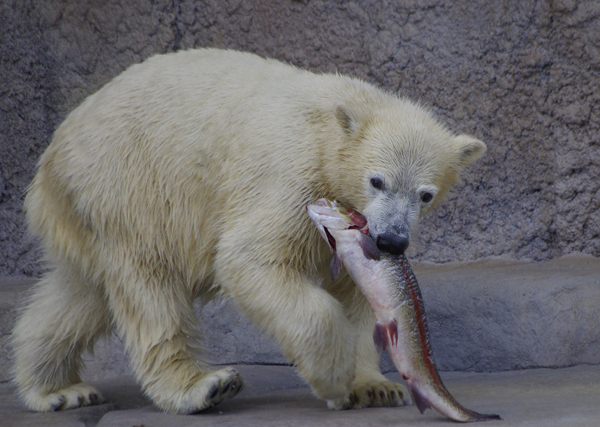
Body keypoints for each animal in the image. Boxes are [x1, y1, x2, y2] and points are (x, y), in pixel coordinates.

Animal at [11, 49, 486, 414]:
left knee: (78, 295)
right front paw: (333, 378)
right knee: (150, 287)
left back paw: (58, 390)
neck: (334, 121)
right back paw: (202, 386)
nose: (391, 240)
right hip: (129, 185)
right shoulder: (290, 174)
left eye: (426, 194)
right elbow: (250, 257)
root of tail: (52, 157)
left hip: (90, 210)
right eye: (377, 180)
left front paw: (374, 386)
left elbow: (359, 295)